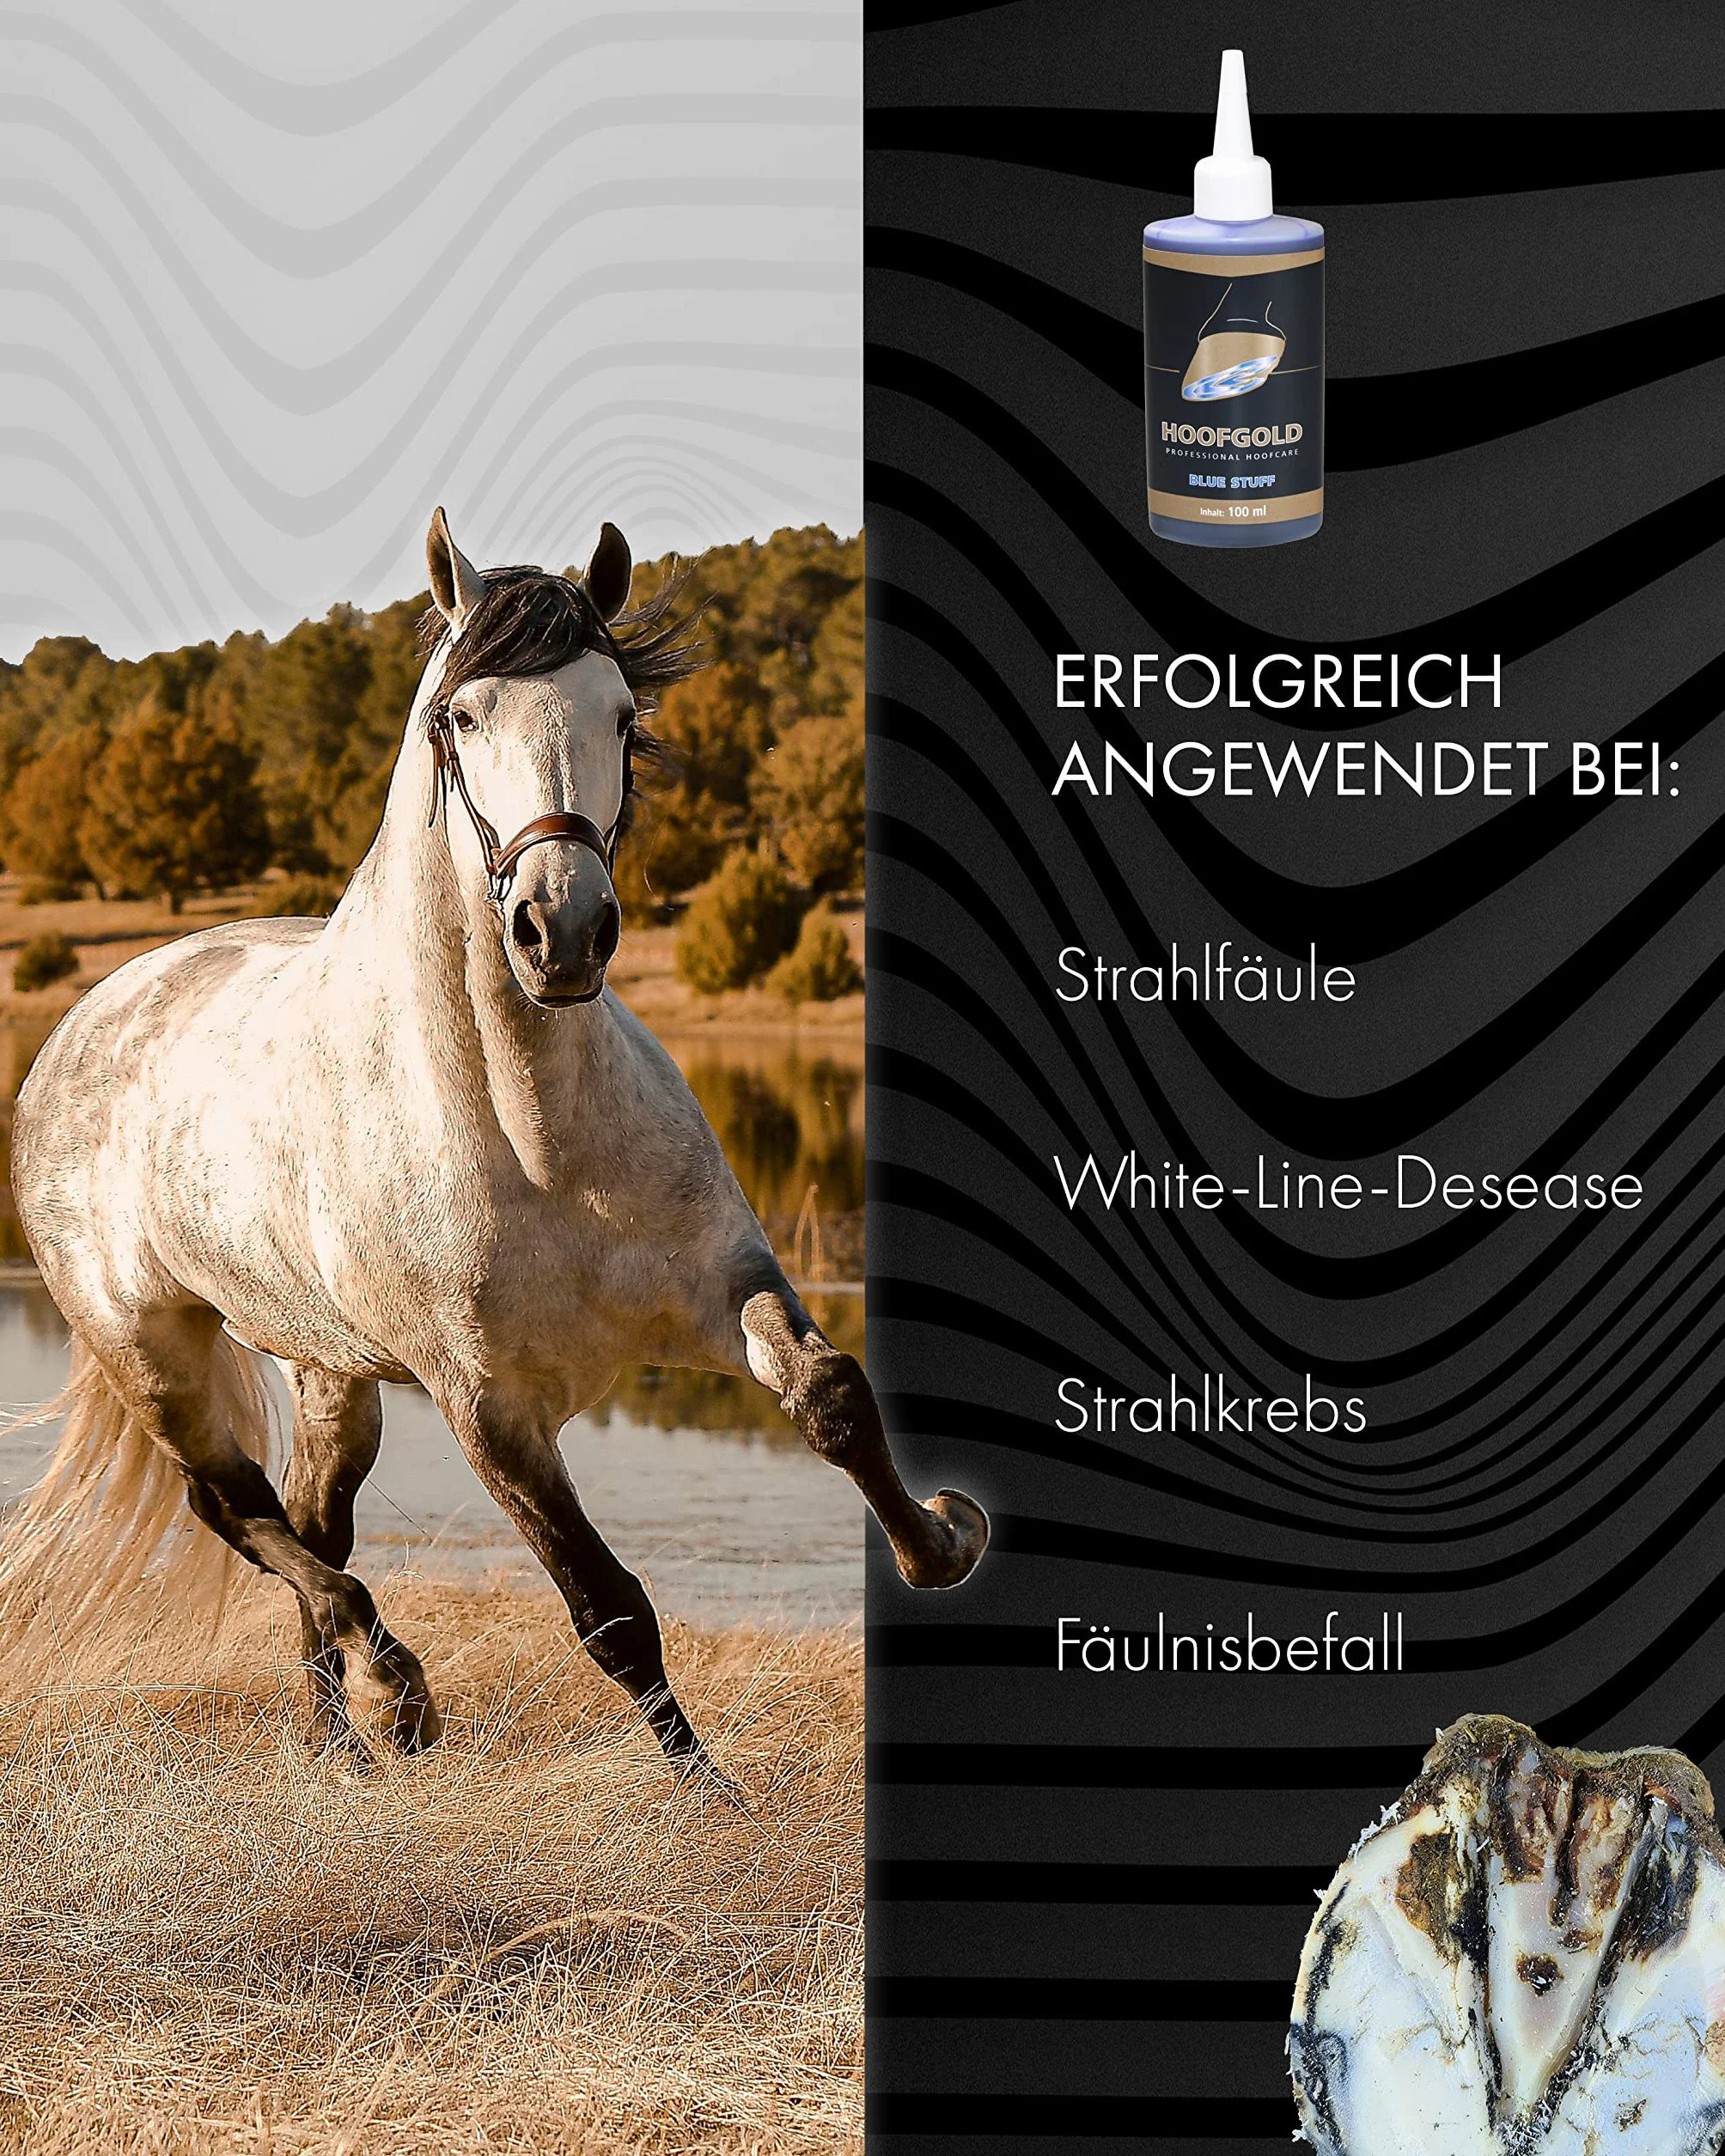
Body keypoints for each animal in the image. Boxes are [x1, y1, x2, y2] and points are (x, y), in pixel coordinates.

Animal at [1, 508, 987, 1773]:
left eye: (620, 712)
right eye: (459, 718)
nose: (560, 929)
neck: (534, 1137)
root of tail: (87, 1016)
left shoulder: (723, 1286)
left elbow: (831, 1395)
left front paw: (941, 1541)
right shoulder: (490, 1407)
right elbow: (610, 1610)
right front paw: (713, 1795)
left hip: (332, 1370)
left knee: (311, 1515)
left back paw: (340, 1746)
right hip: (153, 1351)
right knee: (235, 1509)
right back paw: (395, 1690)